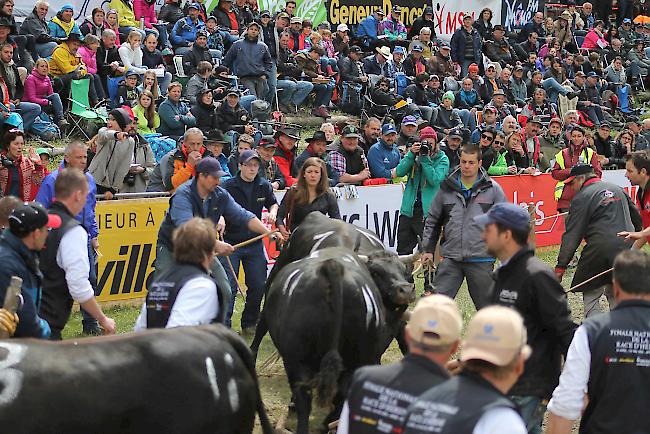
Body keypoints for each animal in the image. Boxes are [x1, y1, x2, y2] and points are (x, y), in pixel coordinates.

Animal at [256, 248, 412, 434]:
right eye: (376, 272)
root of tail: (332, 267)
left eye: (403, 270)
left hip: (298, 359)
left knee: (306, 397)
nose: (405, 289)